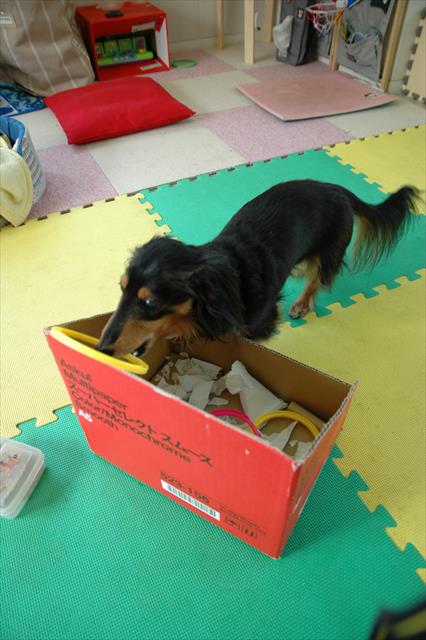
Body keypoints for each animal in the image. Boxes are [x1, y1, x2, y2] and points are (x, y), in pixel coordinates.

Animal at [97, 180, 418, 358]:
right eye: (121, 289)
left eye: (150, 303)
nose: (101, 348)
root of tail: (335, 188)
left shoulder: (258, 324)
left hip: (329, 250)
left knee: (318, 279)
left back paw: (302, 303)